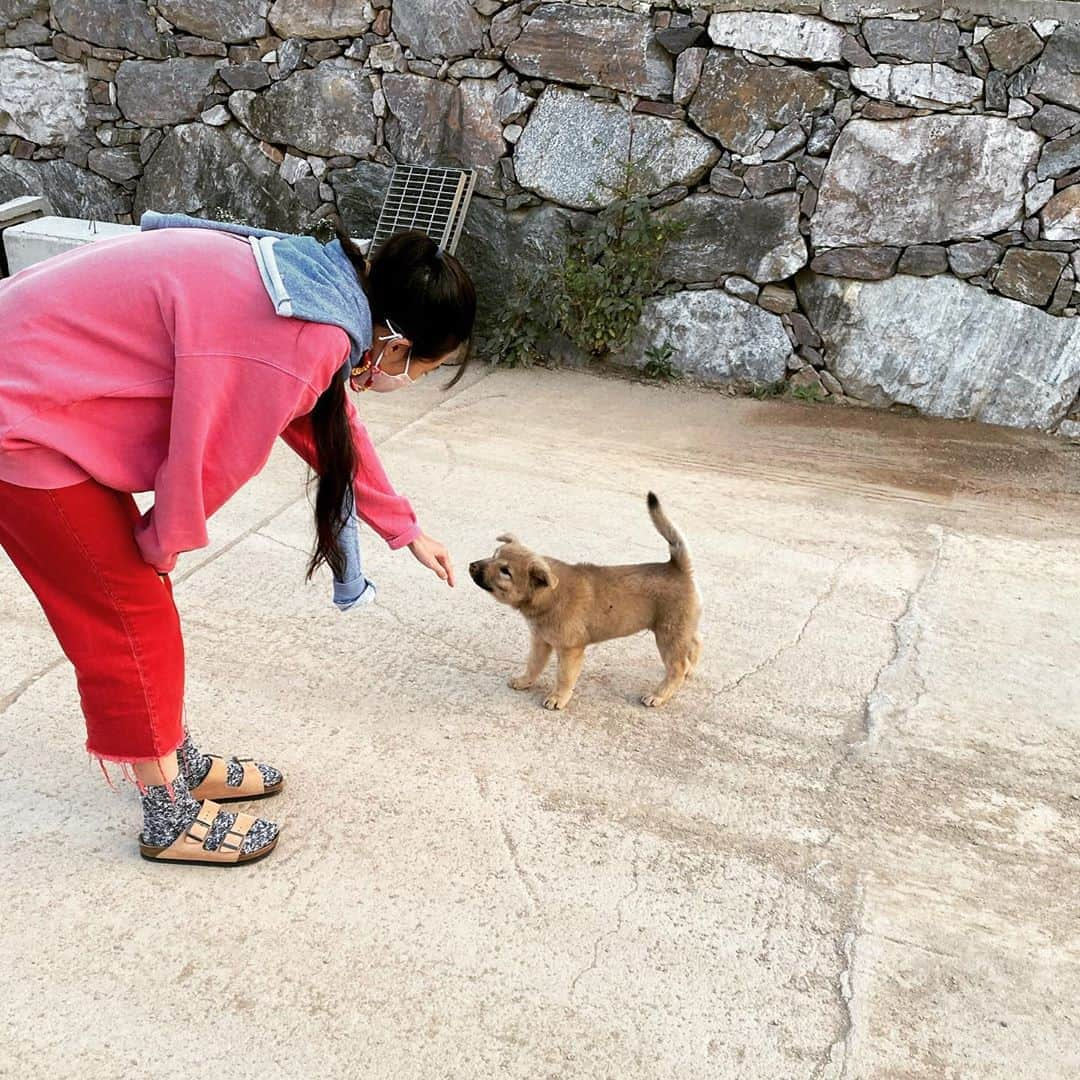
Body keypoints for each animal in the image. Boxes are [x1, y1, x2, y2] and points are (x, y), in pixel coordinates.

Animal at [468, 494, 704, 712]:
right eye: (494, 554)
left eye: (505, 571)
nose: (471, 565)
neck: (549, 595)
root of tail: (677, 567)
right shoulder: (540, 641)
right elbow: (533, 664)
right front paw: (524, 681)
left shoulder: (570, 649)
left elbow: (564, 677)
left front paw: (558, 698)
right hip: (680, 628)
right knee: (695, 643)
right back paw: (690, 670)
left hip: (668, 634)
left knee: (676, 666)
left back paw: (659, 695)